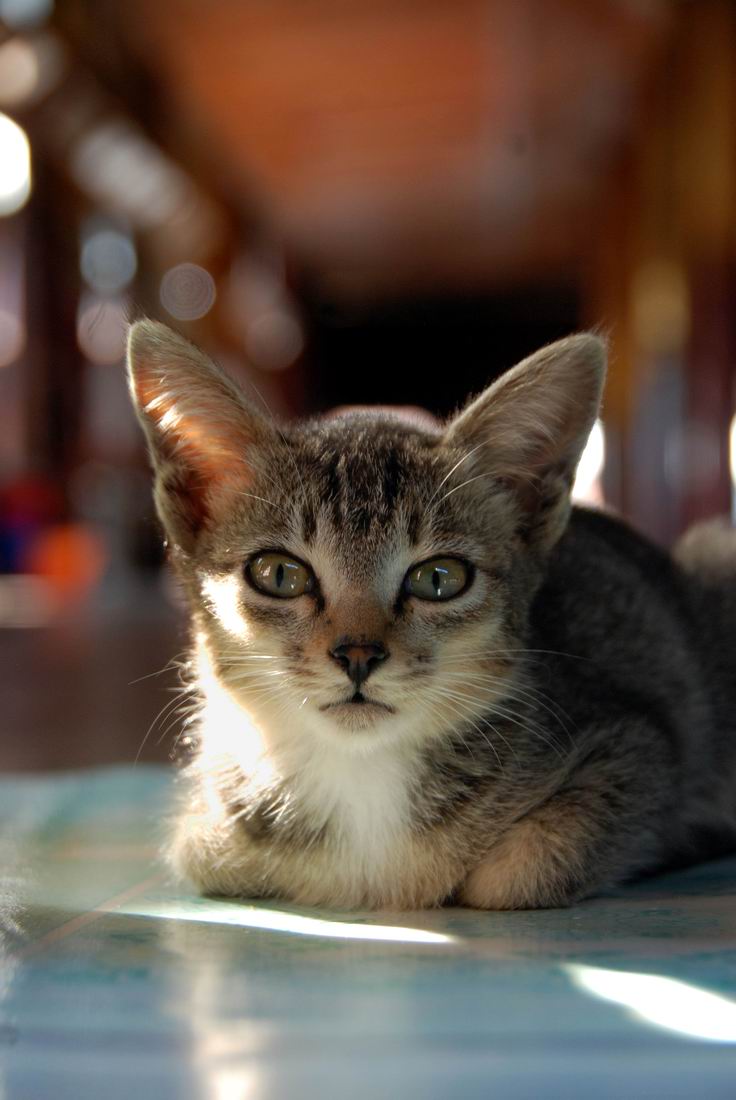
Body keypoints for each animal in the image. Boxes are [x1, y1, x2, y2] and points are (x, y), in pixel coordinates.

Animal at [126, 319, 734, 910]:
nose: (358, 655)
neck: (360, 773)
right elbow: (215, 856)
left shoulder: (640, 746)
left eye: (439, 579)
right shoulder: (205, 831)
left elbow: (515, 874)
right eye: (279, 574)